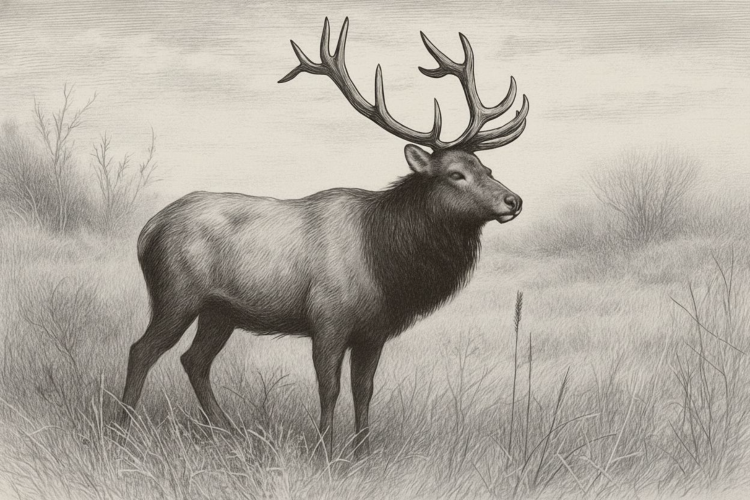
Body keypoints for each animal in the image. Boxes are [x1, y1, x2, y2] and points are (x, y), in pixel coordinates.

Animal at [118, 17, 528, 459]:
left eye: (487, 167)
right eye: (455, 174)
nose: (513, 200)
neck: (387, 266)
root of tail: (147, 230)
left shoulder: (373, 331)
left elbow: (364, 391)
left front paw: (362, 454)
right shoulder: (328, 320)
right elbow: (329, 389)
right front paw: (324, 452)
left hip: (220, 311)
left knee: (194, 360)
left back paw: (228, 431)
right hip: (176, 295)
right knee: (142, 350)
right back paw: (120, 430)